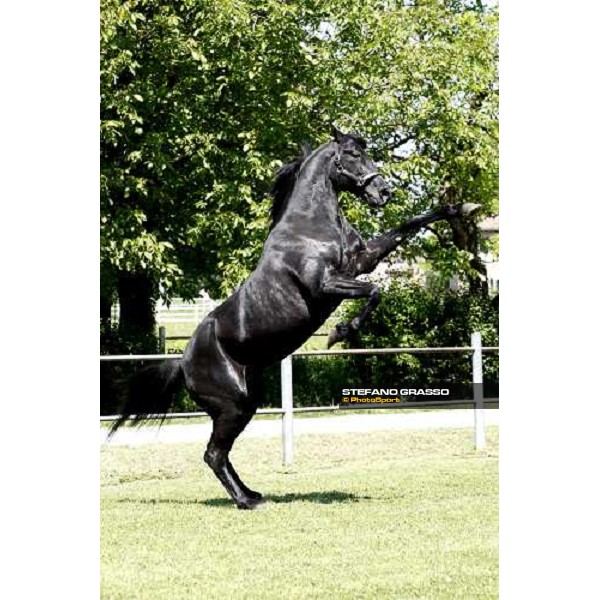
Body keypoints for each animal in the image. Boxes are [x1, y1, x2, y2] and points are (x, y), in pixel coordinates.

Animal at [110, 127, 480, 510]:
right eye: (352, 154)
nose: (383, 192)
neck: (309, 229)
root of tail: (182, 363)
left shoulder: (363, 261)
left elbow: (408, 226)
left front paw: (463, 207)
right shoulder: (328, 284)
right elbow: (375, 290)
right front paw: (340, 332)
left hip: (245, 405)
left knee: (220, 454)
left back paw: (252, 494)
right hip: (232, 406)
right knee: (213, 454)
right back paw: (247, 502)